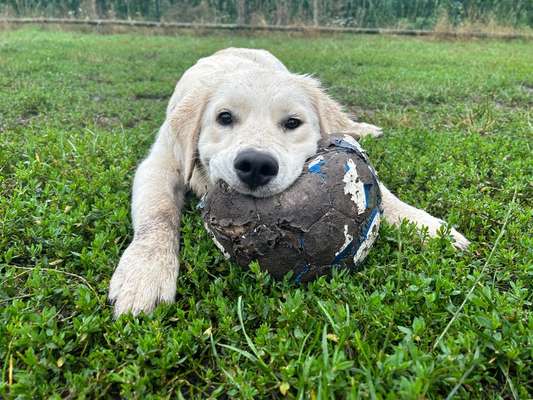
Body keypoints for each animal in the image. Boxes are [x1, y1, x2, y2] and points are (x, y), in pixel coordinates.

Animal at [109, 47, 470, 316]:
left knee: (344, 121)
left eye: (293, 122)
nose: (256, 165)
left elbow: (384, 194)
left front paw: (431, 228)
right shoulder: (160, 163)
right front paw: (144, 272)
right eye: (224, 117)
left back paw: (364, 128)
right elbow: (157, 216)